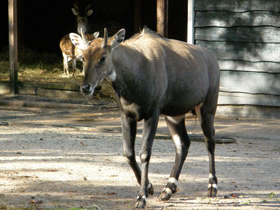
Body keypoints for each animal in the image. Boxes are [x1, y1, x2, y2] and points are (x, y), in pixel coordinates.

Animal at [69, 27, 220, 208]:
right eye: (83, 57)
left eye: (103, 57)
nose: (86, 88)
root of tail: (212, 58)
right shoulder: (127, 115)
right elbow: (128, 153)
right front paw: (149, 187)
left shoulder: (152, 114)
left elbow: (144, 153)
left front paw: (141, 197)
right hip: (174, 115)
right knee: (183, 144)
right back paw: (168, 189)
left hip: (207, 108)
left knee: (210, 141)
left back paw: (212, 187)